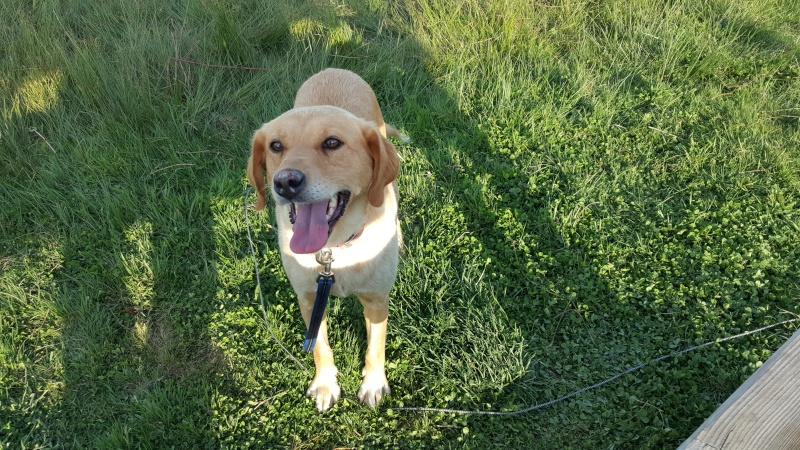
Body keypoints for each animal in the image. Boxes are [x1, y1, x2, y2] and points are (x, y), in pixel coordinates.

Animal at [247, 67, 404, 412]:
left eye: (332, 143)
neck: (335, 249)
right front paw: (324, 384)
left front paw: (373, 384)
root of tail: (335, 69)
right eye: (275, 146)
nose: (285, 182)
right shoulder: (309, 299)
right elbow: (320, 347)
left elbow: (376, 347)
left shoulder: (377, 300)